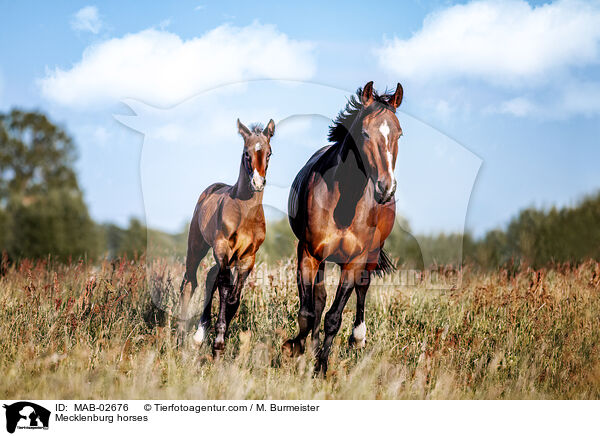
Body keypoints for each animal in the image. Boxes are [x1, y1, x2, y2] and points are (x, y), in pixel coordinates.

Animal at [179, 117, 276, 356]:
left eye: (269, 153)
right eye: (246, 153)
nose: (258, 182)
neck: (245, 214)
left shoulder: (248, 257)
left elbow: (233, 298)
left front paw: (218, 339)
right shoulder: (223, 248)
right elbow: (224, 289)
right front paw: (218, 343)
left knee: (210, 276)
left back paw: (198, 335)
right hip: (197, 246)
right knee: (190, 281)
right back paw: (181, 335)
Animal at [284, 81, 404, 374]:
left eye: (399, 133)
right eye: (365, 133)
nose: (386, 188)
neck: (345, 201)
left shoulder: (354, 260)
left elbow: (334, 317)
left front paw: (321, 368)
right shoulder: (309, 253)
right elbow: (308, 311)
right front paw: (296, 349)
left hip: (370, 254)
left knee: (363, 288)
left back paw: (358, 338)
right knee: (318, 298)